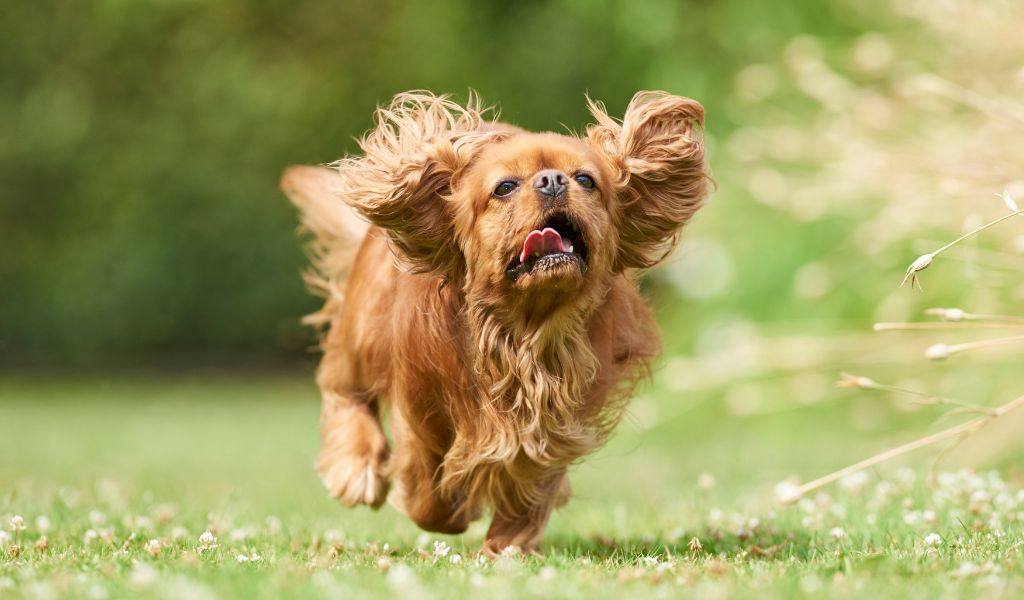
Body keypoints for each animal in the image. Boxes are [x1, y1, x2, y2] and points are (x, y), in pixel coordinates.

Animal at [284, 88, 708, 552]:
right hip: (364, 333)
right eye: (504, 187)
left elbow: (532, 483)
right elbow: (427, 487)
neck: (521, 333)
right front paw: (448, 510)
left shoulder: (554, 425)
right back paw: (356, 468)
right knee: (342, 387)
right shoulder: (420, 413)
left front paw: (508, 544)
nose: (552, 180)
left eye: (585, 180)